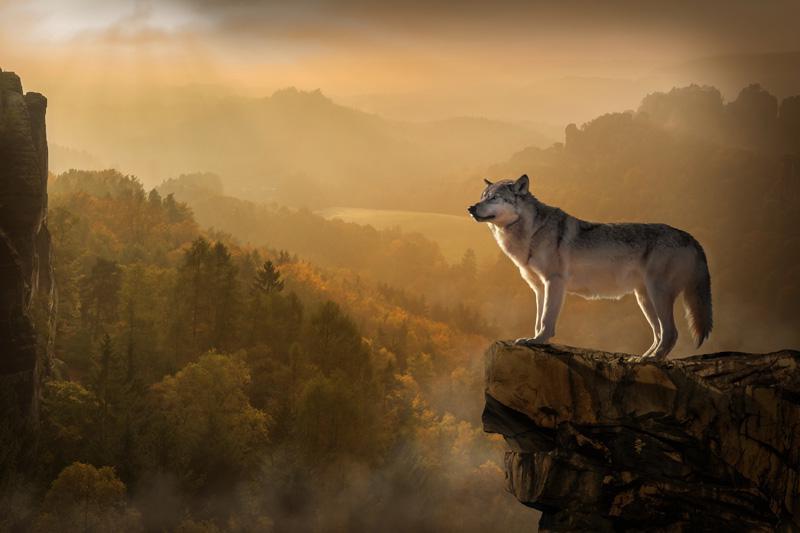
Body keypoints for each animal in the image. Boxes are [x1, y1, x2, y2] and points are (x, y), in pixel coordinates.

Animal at [468, 175, 712, 359]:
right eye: (482, 197)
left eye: (494, 198)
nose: (470, 208)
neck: (531, 232)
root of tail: (691, 237)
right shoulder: (539, 288)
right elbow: (538, 320)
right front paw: (534, 339)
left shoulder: (554, 282)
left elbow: (546, 319)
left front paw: (539, 341)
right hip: (644, 299)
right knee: (659, 333)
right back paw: (641, 357)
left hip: (657, 295)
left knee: (671, 333)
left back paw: (649, 361)